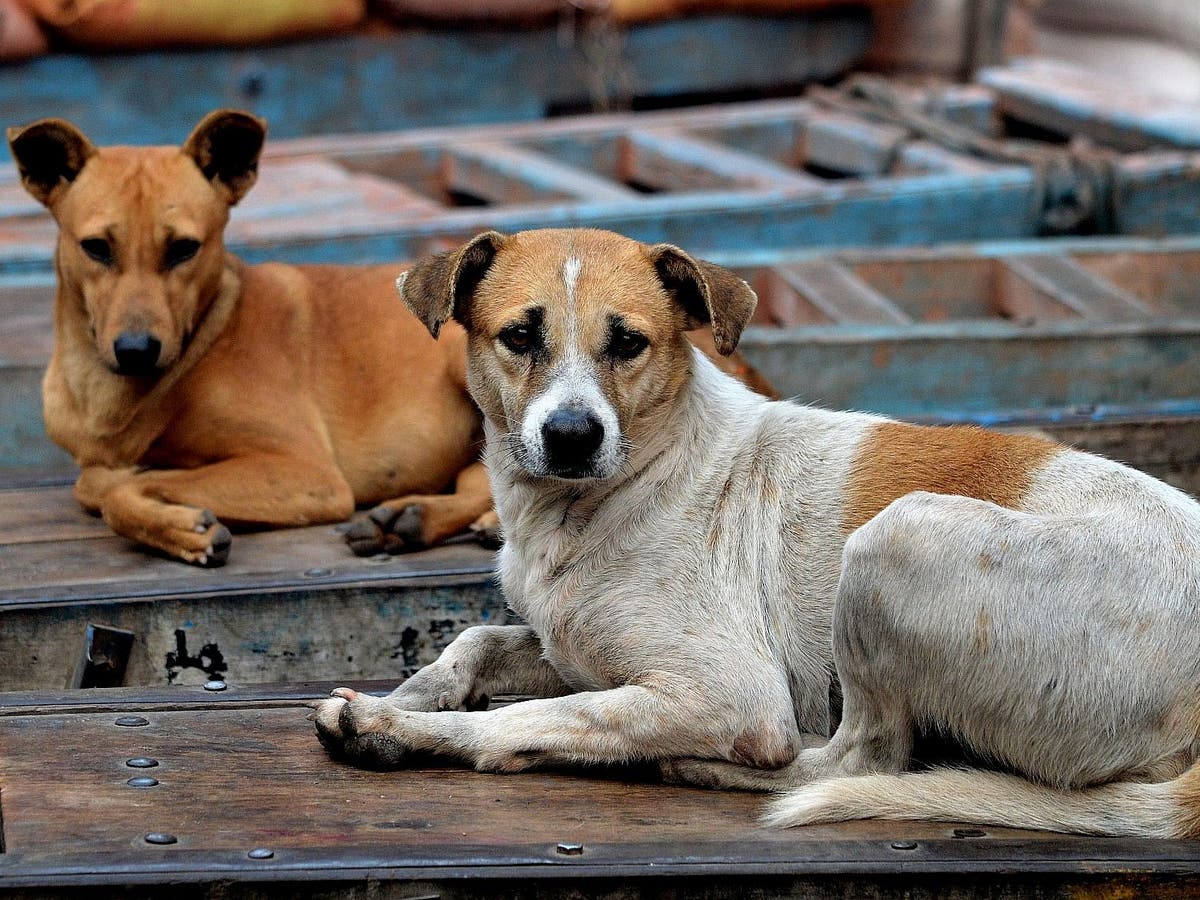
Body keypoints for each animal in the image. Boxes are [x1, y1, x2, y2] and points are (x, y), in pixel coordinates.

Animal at [9, 111, 772, 564]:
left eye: (184, 249)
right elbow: (101, 478)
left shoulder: (304, 473)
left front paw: (176, 520)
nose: (136, 350)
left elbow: (109, 484)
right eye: (96, 248)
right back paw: (411, 517)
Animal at [314, 226, 1200, 840]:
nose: (571, 436)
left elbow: (530, 719)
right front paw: (413, 692)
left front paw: (400, 729)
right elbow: (476, 642)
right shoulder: (570, 645)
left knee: (856, 759)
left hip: (895, 539)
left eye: (627, 342)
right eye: (520, 336)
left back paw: (699, 767)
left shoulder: (731, 693)